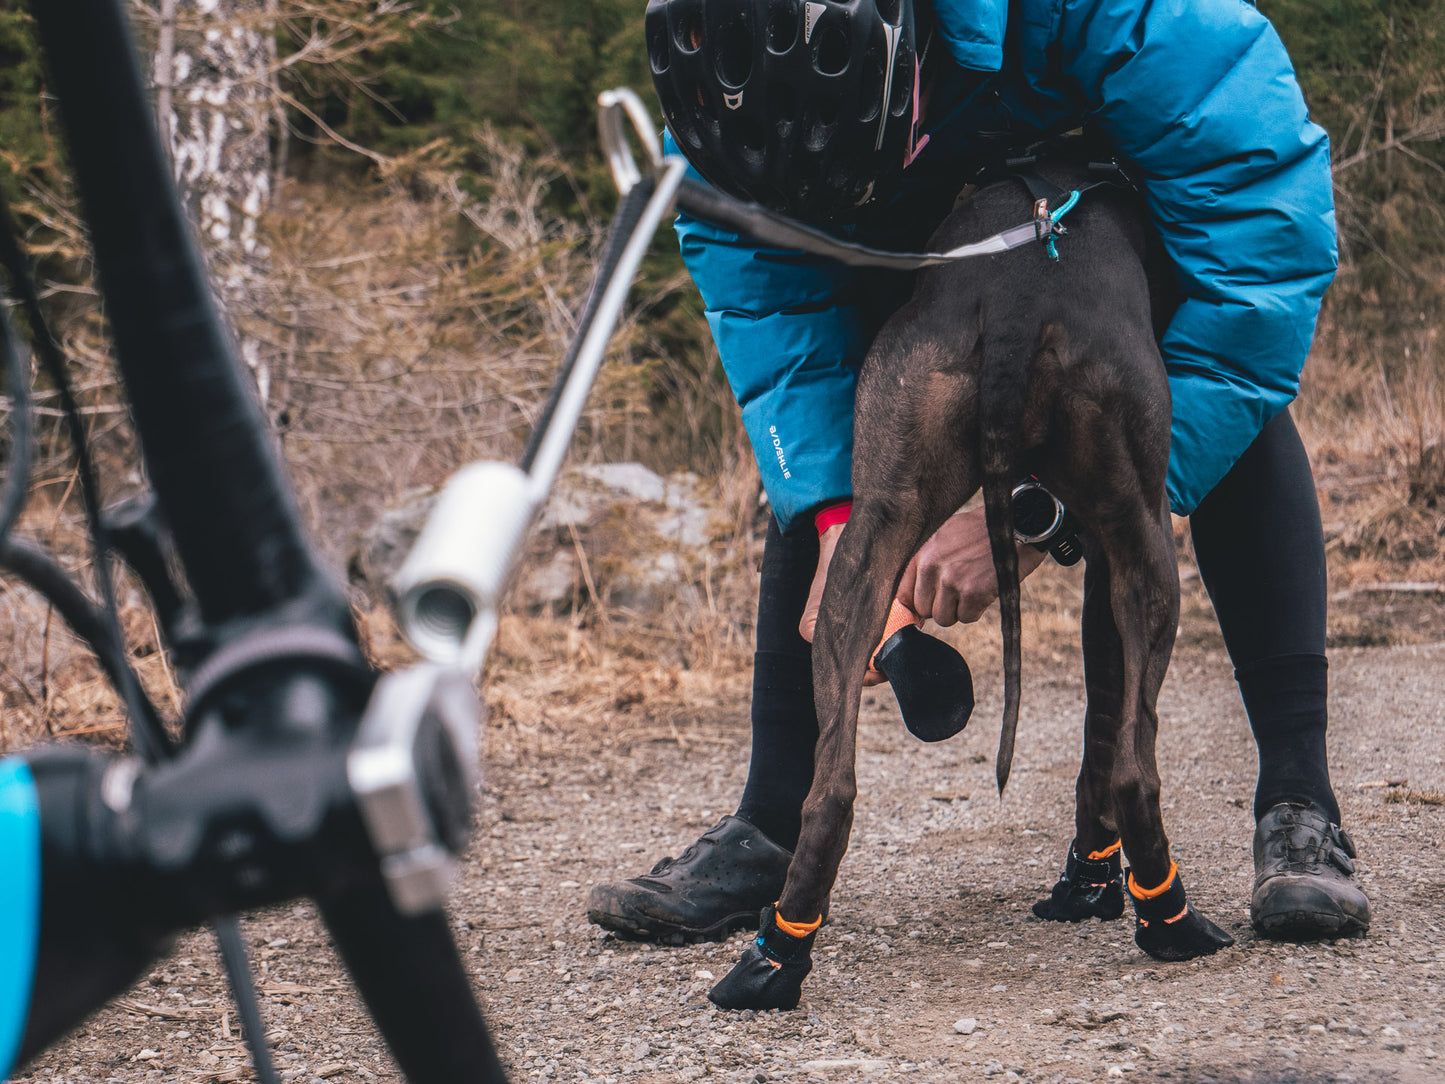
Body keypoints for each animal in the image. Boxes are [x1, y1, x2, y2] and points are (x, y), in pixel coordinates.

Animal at [708, 163, 1231, 1017]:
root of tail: (1018, 297)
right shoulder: (1122, 542)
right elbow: (1107, 732)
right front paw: (1095, 883)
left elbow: (1096, 720)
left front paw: (1085, 881)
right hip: (1148, 546)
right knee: (1136, 769)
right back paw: (1170, 920)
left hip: (873, 531)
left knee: (830, 789)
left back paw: (777, 954)